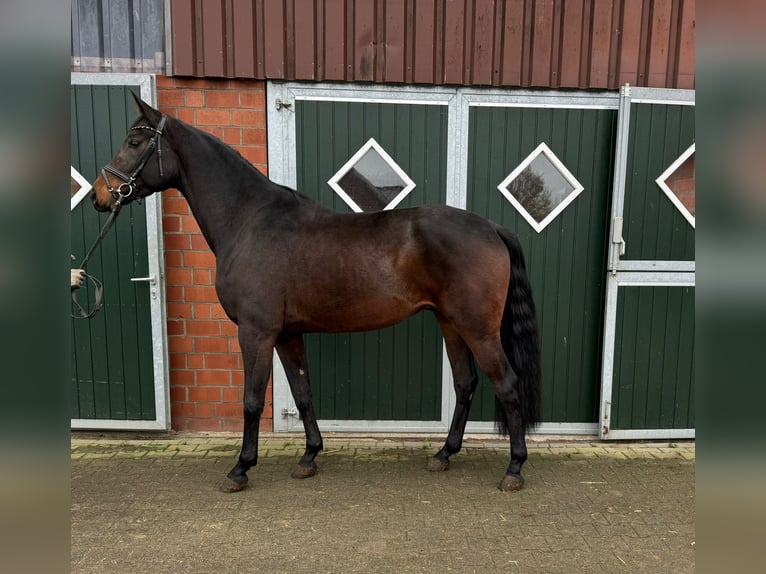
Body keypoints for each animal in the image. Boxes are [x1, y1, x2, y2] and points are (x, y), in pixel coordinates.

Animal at [93, 95, 544, 496]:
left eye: (134, 142)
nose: (100, 194)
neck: (250, 221)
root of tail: (492, 227)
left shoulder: (256, 332)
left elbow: (252, 400)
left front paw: (240, 469)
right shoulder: (288, 333)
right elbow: (303, 392)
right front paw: (309, 457)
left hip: (478, 328)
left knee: (506, 383)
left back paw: (514, 468)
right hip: (450, 322)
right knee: (466, 383)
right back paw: (444, 454)